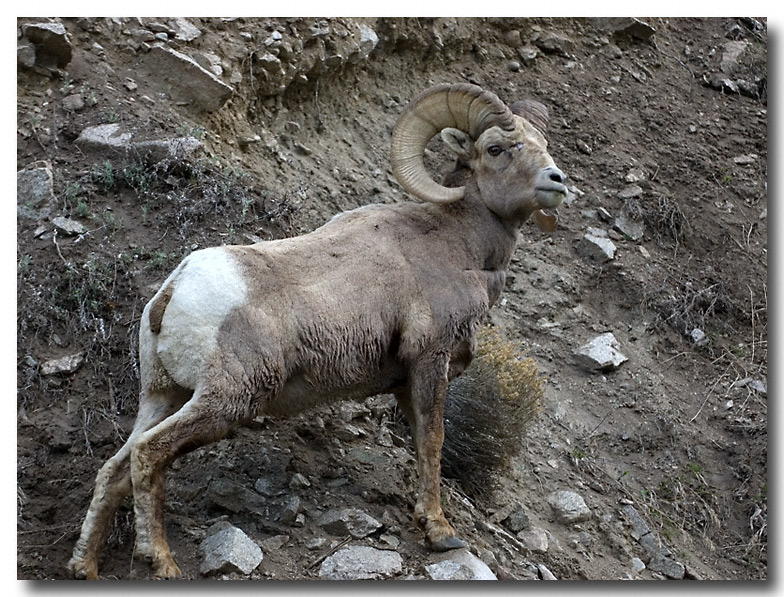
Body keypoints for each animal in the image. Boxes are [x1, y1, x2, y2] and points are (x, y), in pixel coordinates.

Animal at [67, 83, 567, 579]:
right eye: (496, 148)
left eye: (543, 144)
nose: (556, 180)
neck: (458, 245)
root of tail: (174, 290)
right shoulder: (430, 360)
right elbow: (433, 439)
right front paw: (441, 533)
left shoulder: (404, 381)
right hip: (227, 401)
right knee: (148, 453)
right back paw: (162, 561)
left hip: (162, 395)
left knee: (114, 468)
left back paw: (83, 565)